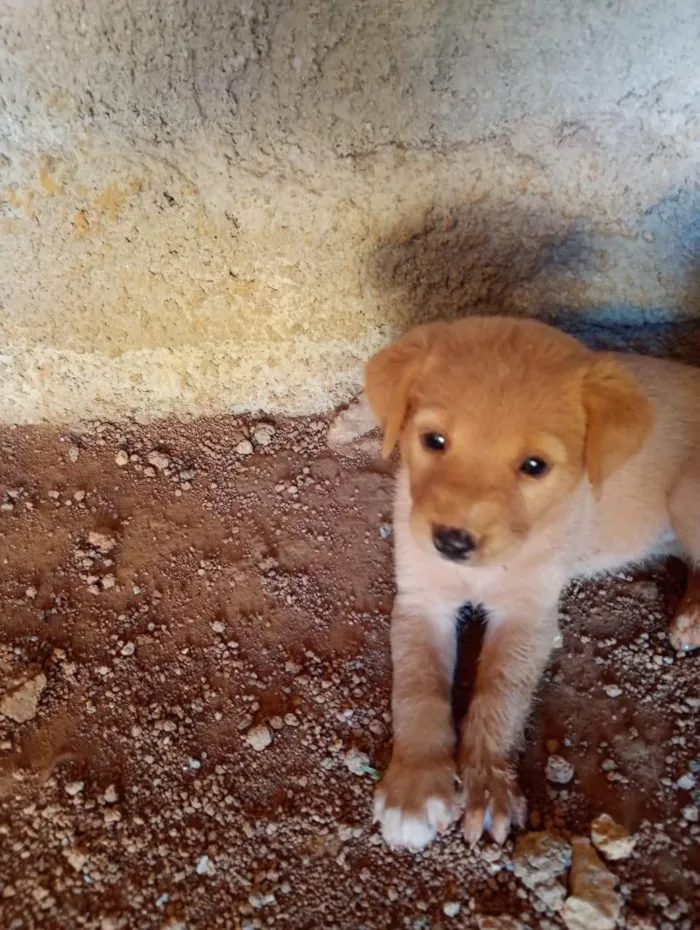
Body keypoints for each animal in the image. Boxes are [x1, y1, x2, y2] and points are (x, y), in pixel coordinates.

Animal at [366, 318, 700, 848]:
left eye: (535, 466)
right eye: (434, 440)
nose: (453, 542)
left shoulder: (529, 613)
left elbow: (500, 695)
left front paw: (488, 788)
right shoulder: (423, 597)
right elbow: (418, 690)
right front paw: (414, 788)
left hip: (687, 498)